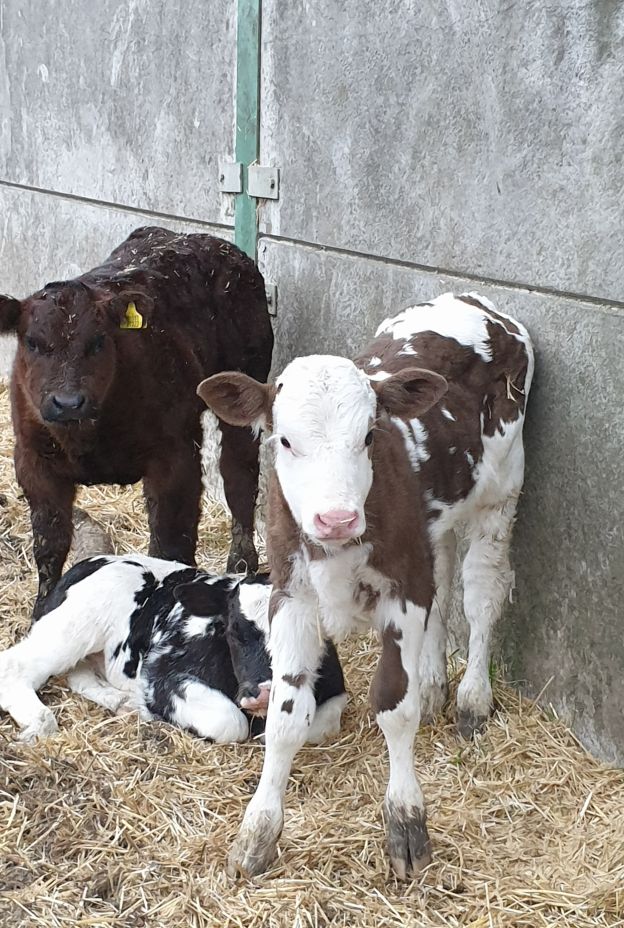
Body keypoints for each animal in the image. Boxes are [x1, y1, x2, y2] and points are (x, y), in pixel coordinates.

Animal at [0, 226, 274, 619]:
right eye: (34, 343)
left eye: (98, 341)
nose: (68, 402)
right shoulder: (32, 461)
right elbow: (49, 544)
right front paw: (42, 612)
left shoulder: (175, 458)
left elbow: (170, 541)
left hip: (243, 385)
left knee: (239, 476)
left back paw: (241, 562)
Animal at [0, 555, 347, 746]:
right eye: (232, 630)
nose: (263, 692)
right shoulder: (163, 677)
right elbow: (229, 722)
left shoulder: (335, 690)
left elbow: (320, 725)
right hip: (78, 622)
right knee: (14, 666)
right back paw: (40, 722)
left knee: (79, 674)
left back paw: (122, 702)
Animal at [197, 291, 534, 879]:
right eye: (285, 440)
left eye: (369, 436)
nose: (335, 518)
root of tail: (472, 299)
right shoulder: (292, 595)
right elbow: (285, 717)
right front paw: (257, 833)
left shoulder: (402, 592)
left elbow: (394, 707)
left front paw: (406, 822)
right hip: (435, 523)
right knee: (443, 576)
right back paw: (434, 684)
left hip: (501, 489)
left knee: (480, 592)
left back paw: (471, 697)